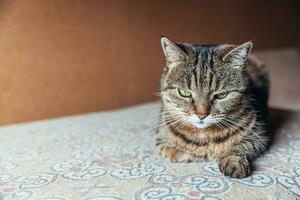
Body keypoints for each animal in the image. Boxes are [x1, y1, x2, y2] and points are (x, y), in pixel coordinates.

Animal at [157, 36, 270, 178]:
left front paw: (233, 161)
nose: (201, 114)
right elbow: (172, 149)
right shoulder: (161, 137)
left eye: (221, 95)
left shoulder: (260, 135)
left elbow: (243, 146)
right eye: (184, 93)